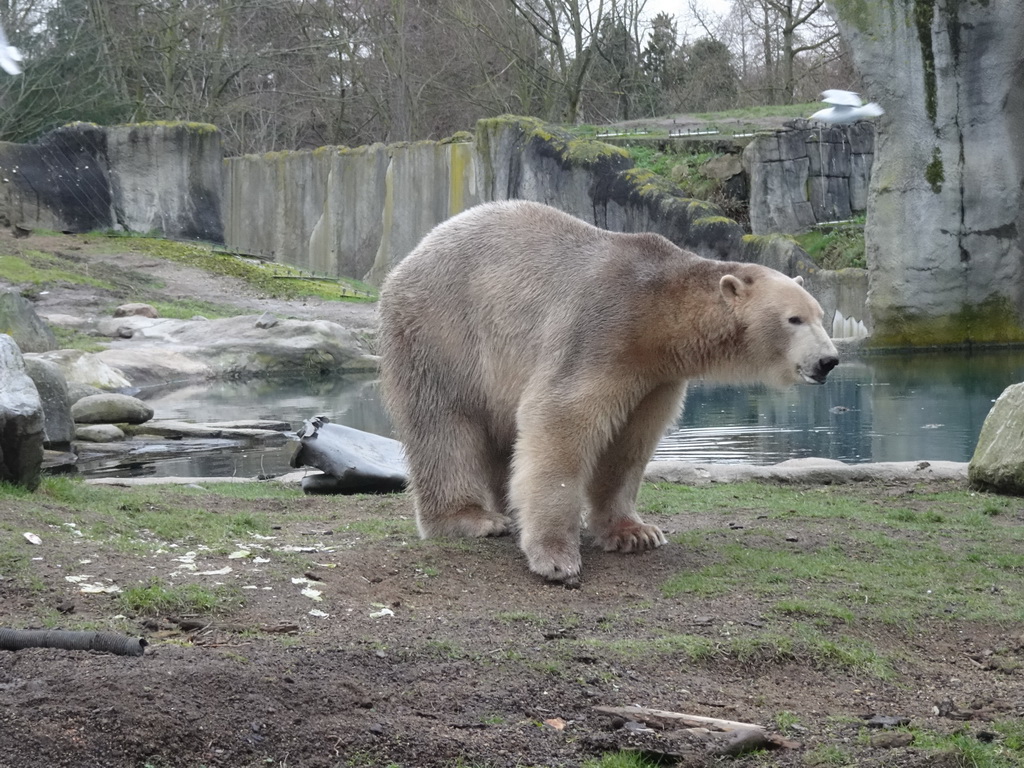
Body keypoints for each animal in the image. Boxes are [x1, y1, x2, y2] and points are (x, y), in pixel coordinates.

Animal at [378, 201, 839, 585]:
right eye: (794, 318)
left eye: (820, 314)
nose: (828, 360)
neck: (660, 310)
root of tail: (412, 255)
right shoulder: (602, 332)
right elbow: (560, 422)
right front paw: (556, 557)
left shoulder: (654, 376)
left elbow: (628, 443)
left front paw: (636, 533)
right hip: (442, 331)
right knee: (444, 423)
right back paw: (471, 519)